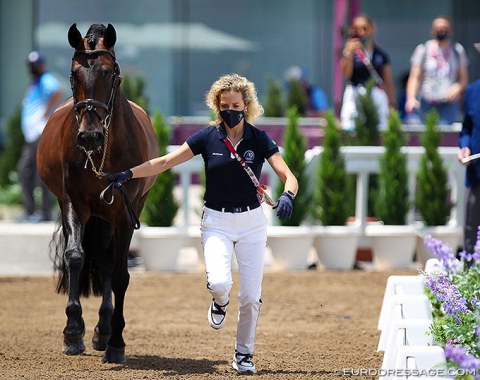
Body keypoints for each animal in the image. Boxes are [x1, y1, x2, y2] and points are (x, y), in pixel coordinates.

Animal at [36, 23, 159, 362]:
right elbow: (75, 257)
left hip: (116, 213)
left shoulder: (125, 214)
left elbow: (119, 275)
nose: (89, 136)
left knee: (107, 260)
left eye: (110, 73)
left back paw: (104, 331)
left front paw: (116, 341)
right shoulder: (73, 204)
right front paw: (72, 331)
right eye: (73, 74)